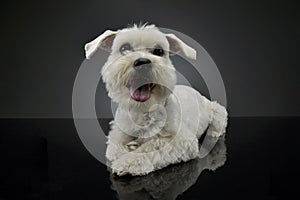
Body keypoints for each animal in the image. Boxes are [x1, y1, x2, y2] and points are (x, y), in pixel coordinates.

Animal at [84, 24, 227, 176]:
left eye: (159, 51)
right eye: (124, 48)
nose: (142, 62)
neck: (142, 111)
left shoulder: (183, 141)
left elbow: (152, 146)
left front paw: (129, 161)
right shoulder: (117, 134)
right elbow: (114, 149)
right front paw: (129, 148)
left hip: (217, 111)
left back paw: (213, 132)